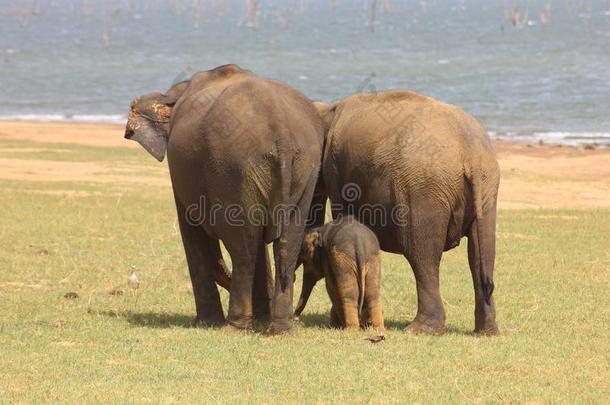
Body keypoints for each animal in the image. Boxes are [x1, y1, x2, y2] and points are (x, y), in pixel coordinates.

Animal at [123, 64, 324, 332]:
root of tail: (281, 130)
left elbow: (192, 229)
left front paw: (205, 322)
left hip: (234, 169)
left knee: (243, 248)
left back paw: (235, 326)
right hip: (303, 167)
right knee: (284, 244)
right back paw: (280, 329)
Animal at [314, 91, 498, 334]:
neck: (329, 108)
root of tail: (471, 152)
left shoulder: (335, 170)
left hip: (423, 190)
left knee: (422, 254)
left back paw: (419, 329)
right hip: (486, 189)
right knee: (481, 252)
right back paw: (486, 333)